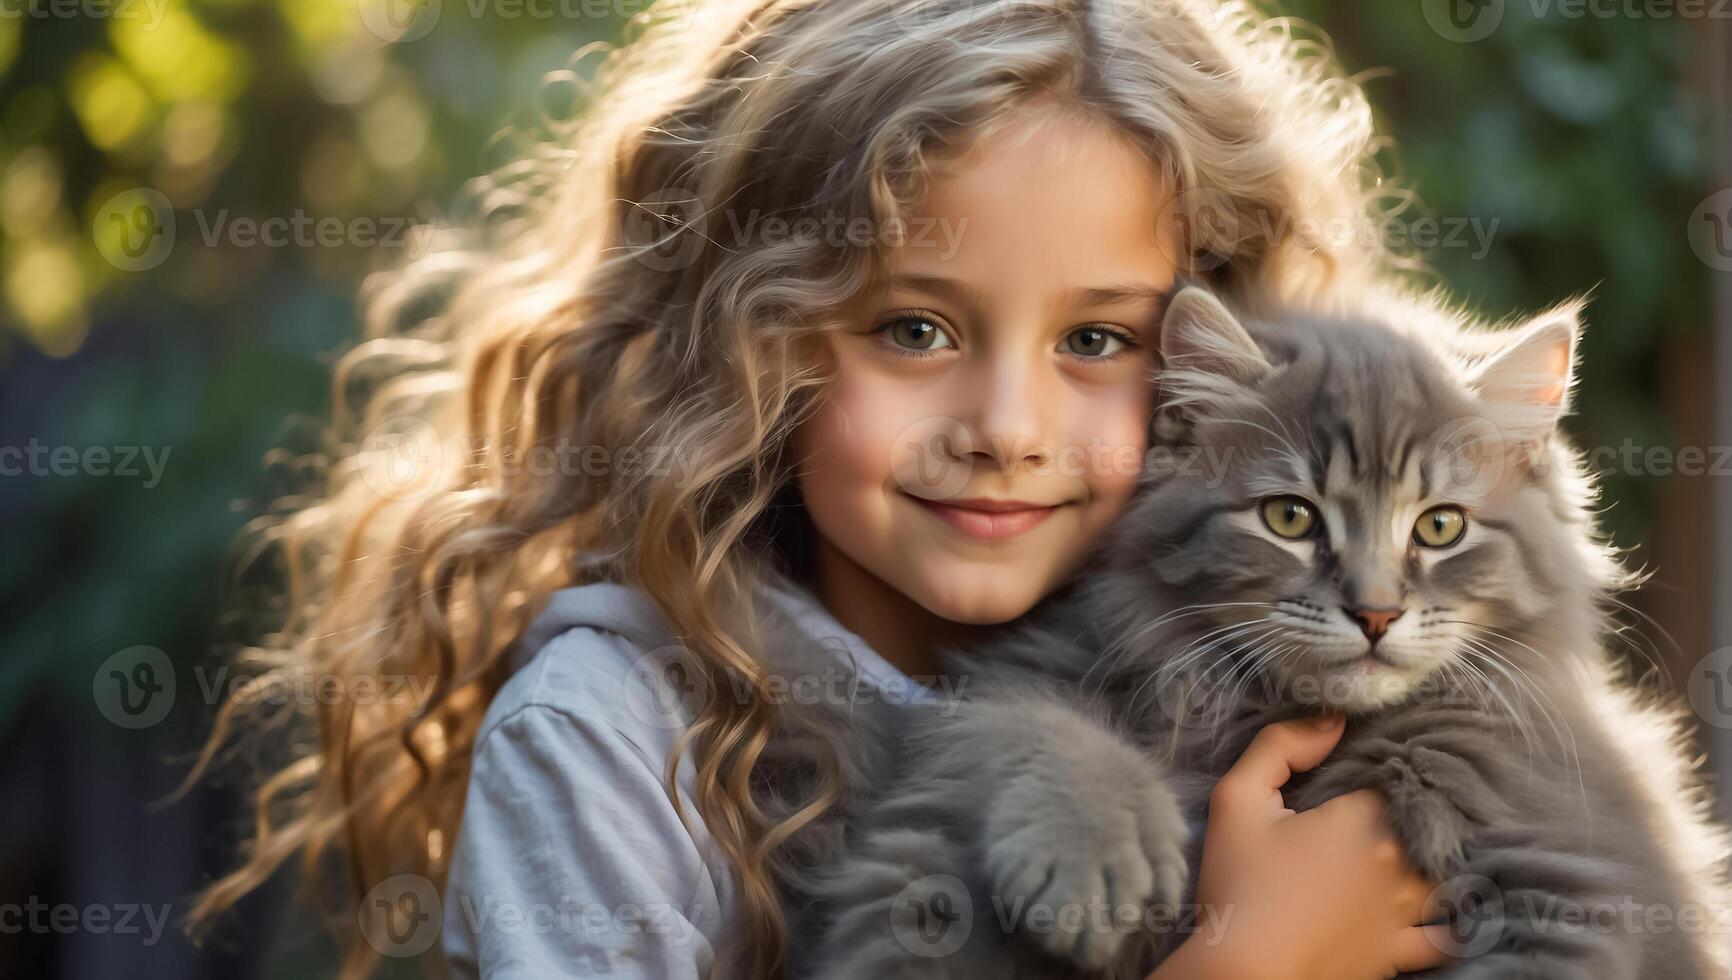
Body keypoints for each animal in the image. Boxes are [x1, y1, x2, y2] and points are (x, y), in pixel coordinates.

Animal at [762, 283, 1732, 980]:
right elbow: (1031, 728)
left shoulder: (1562, 882)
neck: (1263, 713)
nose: (1375, 612)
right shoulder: (1025, 678)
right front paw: (1097, 861)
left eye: (1440, 528)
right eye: (1290, 517)